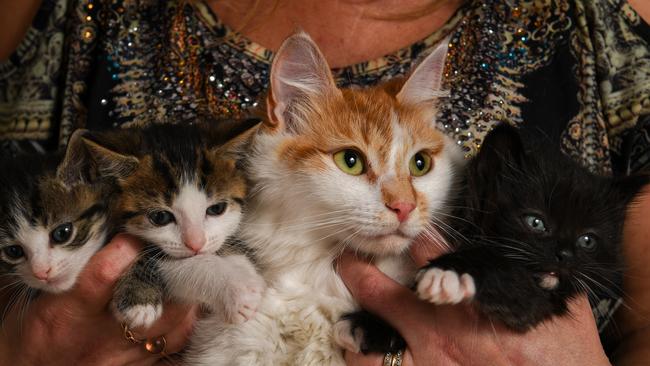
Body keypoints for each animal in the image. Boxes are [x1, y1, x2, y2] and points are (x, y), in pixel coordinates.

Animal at [74, 120, 268, 328]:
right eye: (160, 217)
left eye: (217, 209)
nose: (196, 244)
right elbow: (174, 261)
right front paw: (237, 290)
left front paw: (244, 268)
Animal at [416, 123, 648, 332]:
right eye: (536, 222)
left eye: (587, 240)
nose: (565, 255)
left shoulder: (541, 301)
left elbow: (512, 280)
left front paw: (447, 273)